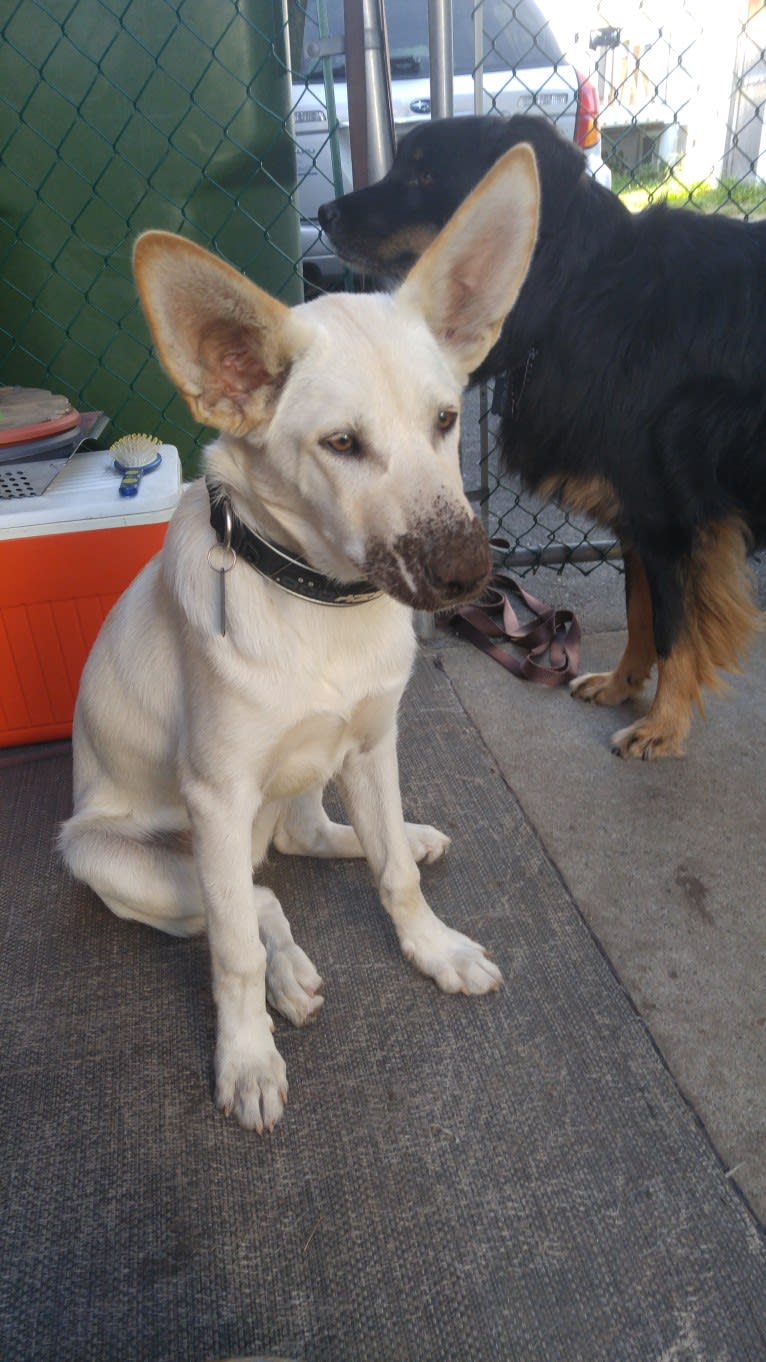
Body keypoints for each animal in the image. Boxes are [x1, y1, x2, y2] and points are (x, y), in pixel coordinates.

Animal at [60, 143, 537, 1133]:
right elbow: (233, 950)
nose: (471, 573)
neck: (322, 605)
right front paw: (245, 1058)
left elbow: (392, 877)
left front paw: (433, 946)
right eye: (342, 444)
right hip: (118, 857)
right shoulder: (215, 795)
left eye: (446, 420)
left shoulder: (374, 739)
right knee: (253, 900)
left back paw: (402, 839)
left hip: (315, 773)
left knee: (304, 846)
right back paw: (286, 974)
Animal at [318, 114, 763, 757]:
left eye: (425, 176)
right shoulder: (637, 515)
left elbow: (673, 627)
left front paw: (662, 725)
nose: (323, 212)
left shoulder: (670, 518)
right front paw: (622, 684)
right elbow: (640, 612)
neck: (573, 293)